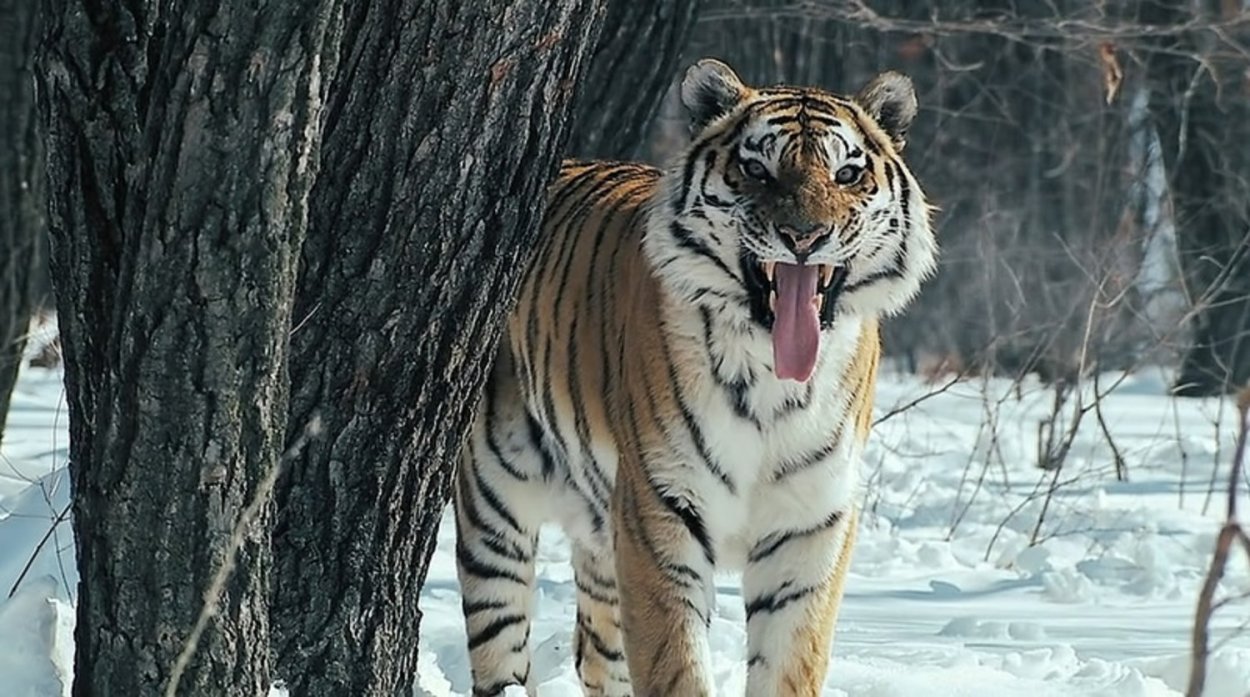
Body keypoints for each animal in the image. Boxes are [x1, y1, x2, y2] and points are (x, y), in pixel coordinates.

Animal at [453, 58, 937, 697]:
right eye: (757, 169)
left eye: (848, 173)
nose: (805, 237)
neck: (773, 378)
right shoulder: (661, 511)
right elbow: (674, 663)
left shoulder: (811, 526)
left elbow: (790, 664)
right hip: (495, 503)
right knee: (500, 641)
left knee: (597, 652)